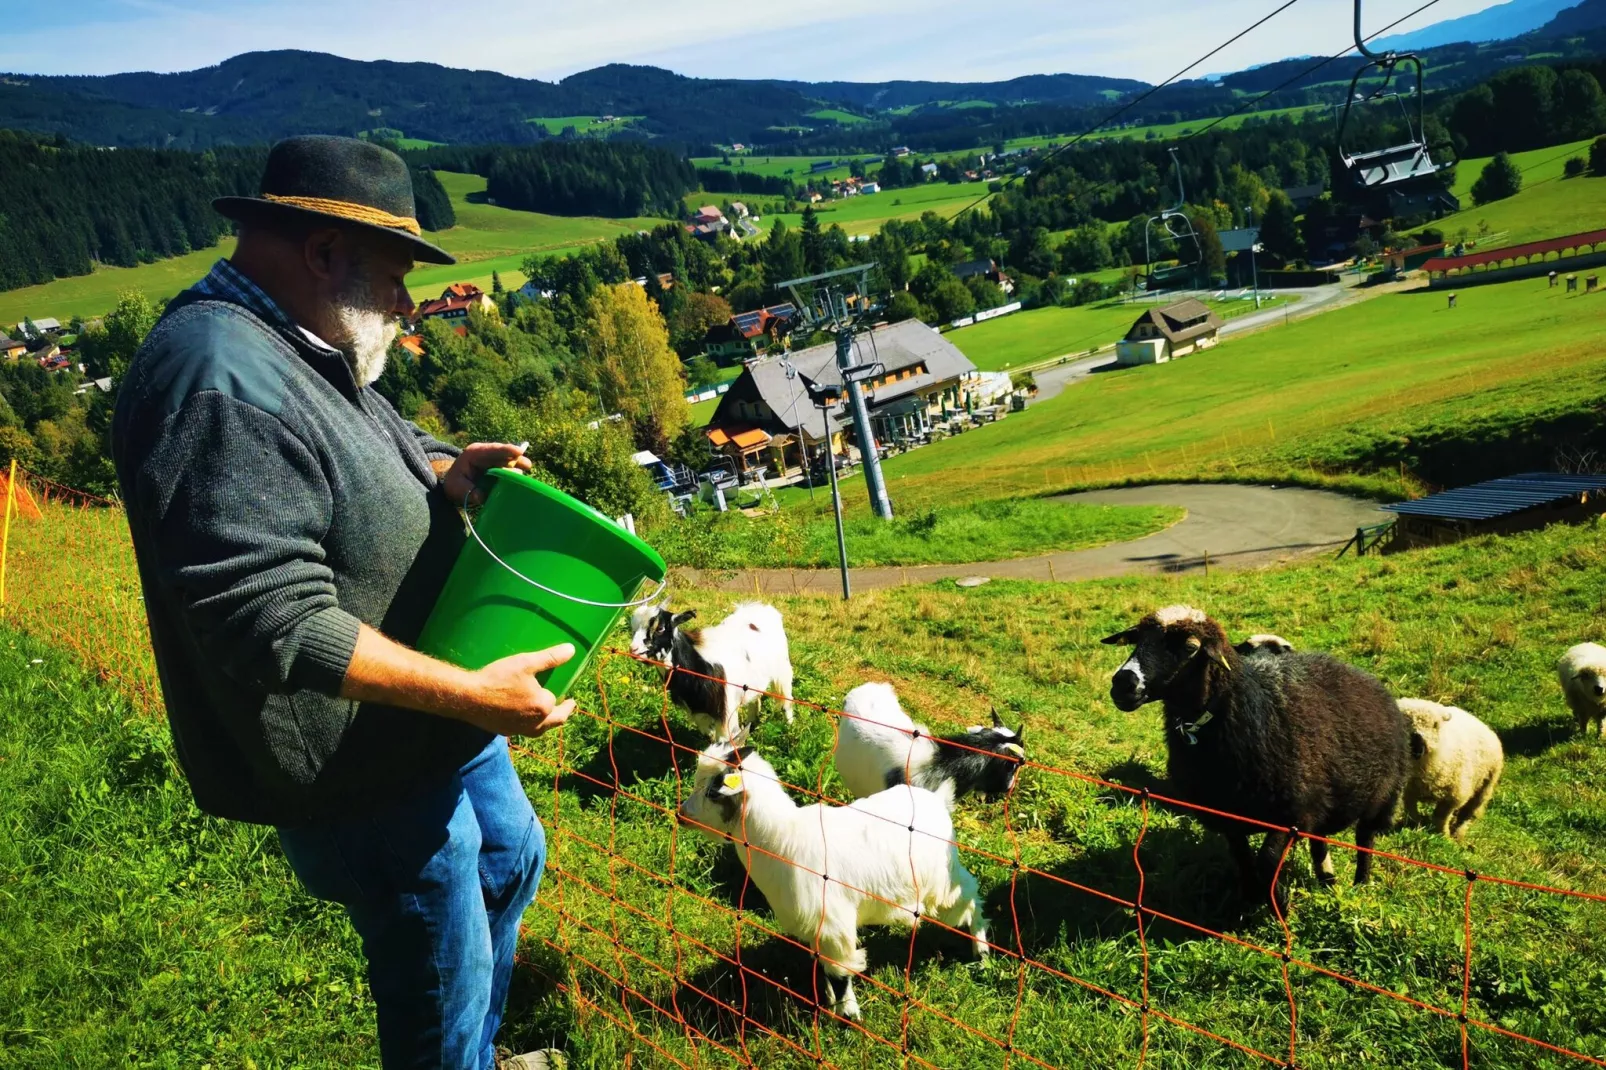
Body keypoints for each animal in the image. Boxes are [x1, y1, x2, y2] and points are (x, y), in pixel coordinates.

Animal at [632, 600, 796, 742]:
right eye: (632, 629)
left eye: (660, 628)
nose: (633, 649)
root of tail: (761, 607)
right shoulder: (698, 713)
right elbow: (710, 736)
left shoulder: (725, 715)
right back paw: (751, 724)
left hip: (783, 670)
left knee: (786, 699)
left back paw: (789, 727)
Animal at [1104, 604, 1406, 906]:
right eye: (1138, 640)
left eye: (1190, 647)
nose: (1123, 683)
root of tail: (1362, 674)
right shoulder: (1230, 816)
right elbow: (1243, 859)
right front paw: (1249, 899)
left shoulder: (1290, 813)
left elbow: (1268, 862)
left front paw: (1279, 905)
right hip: (1321, 795)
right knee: (1319, 838)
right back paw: (1327, 881)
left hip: (1382, 794)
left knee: (1365, 839)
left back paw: (1361, 883)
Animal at [1400, 697, 1496, 835]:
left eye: (1435, 724)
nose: (1417, 745)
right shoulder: (1408, 791)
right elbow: (1411, 812)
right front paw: (1415, 827)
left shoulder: (1454, 796)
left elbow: (1441, 817)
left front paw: (1443, 835)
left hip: (1484, 788)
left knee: (1467, 814)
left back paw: (1459, 833)